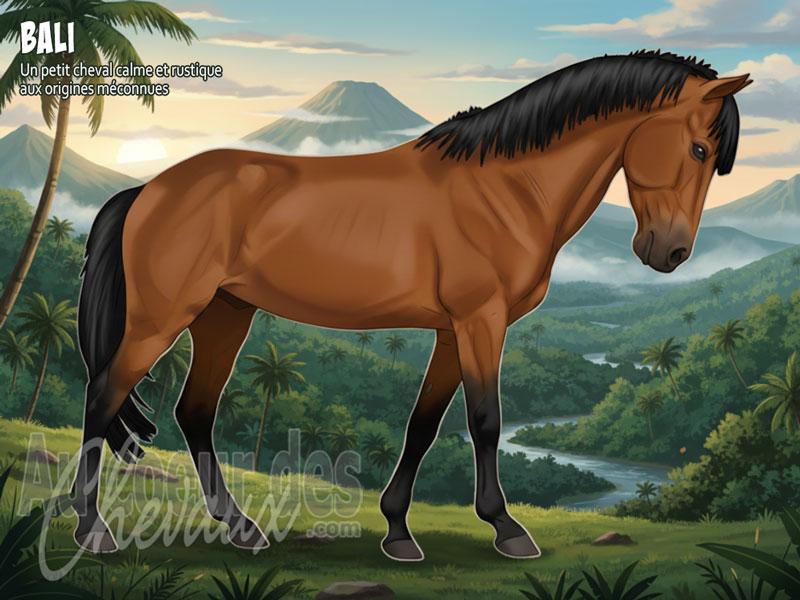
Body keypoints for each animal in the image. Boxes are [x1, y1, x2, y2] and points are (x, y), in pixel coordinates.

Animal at [71, 50, 750, 559]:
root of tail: (146, 190)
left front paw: (397, 531)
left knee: (194, 412)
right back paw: (92, 528)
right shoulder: (481, 323)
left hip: (225, 316)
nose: (670, 253)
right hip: (160, 320)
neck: (507, 189)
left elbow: (423, 426)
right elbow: (485, 421)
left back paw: (240, 528)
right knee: (103, 395)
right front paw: (507, 529)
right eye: (698, 149)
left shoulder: (454, 331)